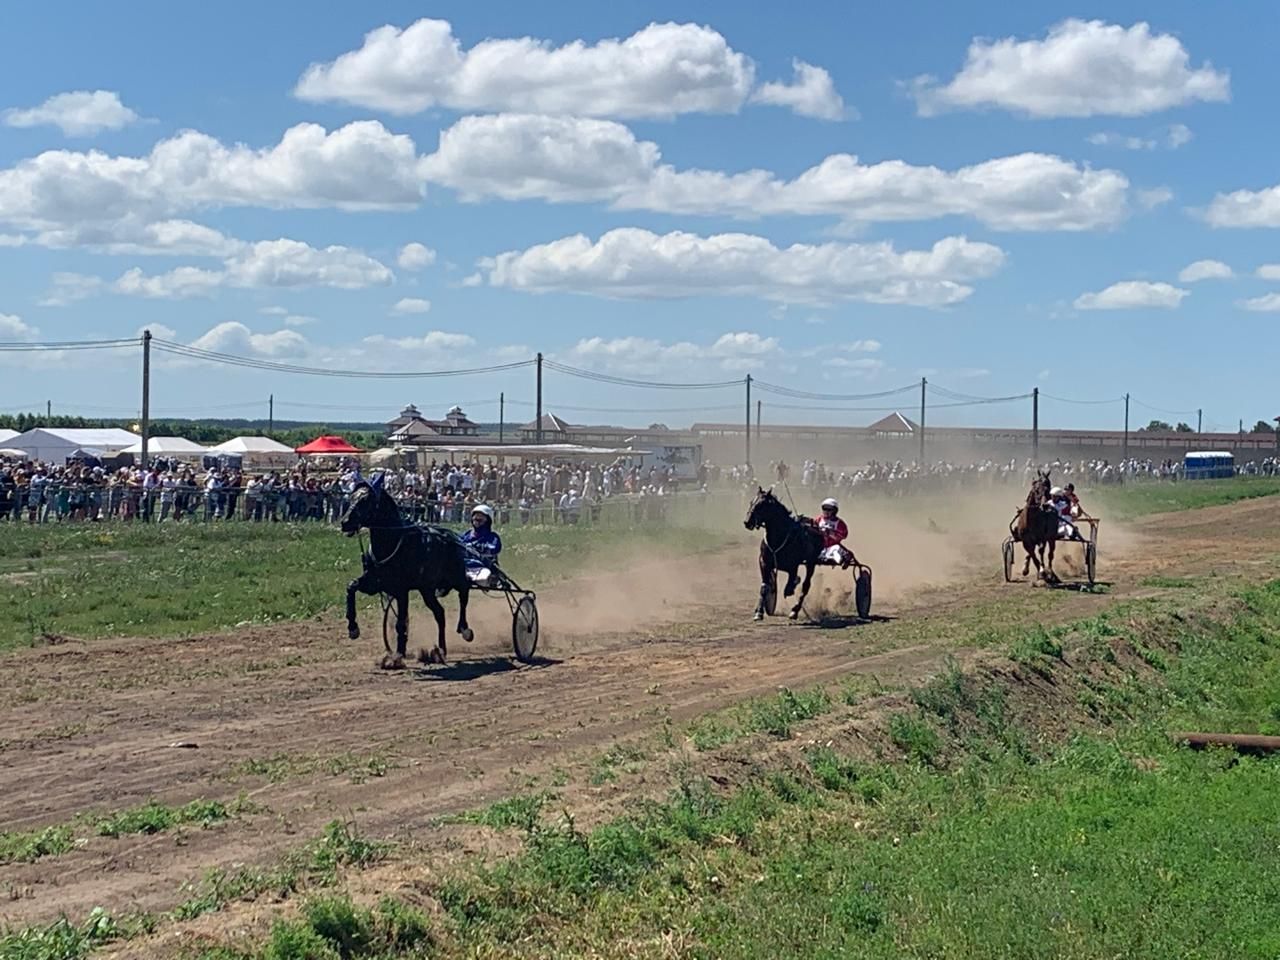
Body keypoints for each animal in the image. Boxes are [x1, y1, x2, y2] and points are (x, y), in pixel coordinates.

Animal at [340, 478, 476, 670]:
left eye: (365, 500)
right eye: (352, 497)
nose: (345, 522)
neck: (391, 544)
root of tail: (449, 535)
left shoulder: (401, 591)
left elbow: (401, 623)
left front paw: (397, 657)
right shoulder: (374, 583)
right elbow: (351, 587)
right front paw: (353, 628)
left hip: (456, 577)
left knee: (464, 595)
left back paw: (464, 629)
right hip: (427, 589)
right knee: (440, 613)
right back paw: (441, 650)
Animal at [747, 488, 824, 624]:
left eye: (761, 505)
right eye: (752, 502)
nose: (747, 522)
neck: (778, 537)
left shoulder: (793, 565)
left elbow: (791, 583)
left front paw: (791, 588)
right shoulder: (764, 562)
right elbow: (764, 587)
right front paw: (759, 612)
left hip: (811, 563)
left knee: (806, 586)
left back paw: (795, 610)